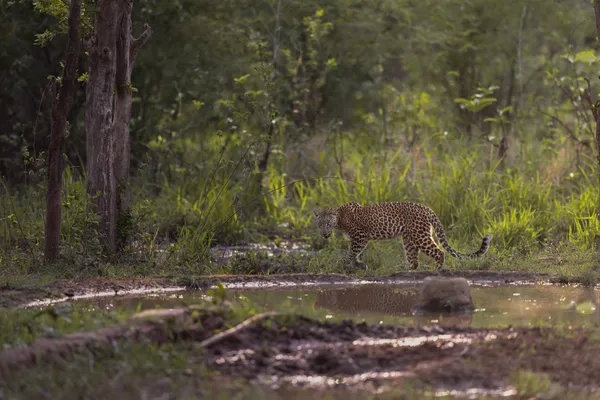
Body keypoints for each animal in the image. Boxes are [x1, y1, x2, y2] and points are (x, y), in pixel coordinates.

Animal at [314, 202, 492, 270]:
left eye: (327, 223)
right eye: (319, 224)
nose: (324, 234)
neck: (339, 219)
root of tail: (427, 208)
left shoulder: (360, 237)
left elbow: (351, 252)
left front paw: (347, 265)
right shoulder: (358, 239)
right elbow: (356, 253)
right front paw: (359, 264)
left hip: (420, 236)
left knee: (439, 252)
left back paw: (437, 270)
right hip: (409, 239)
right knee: (414, 260)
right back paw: (407, 271)